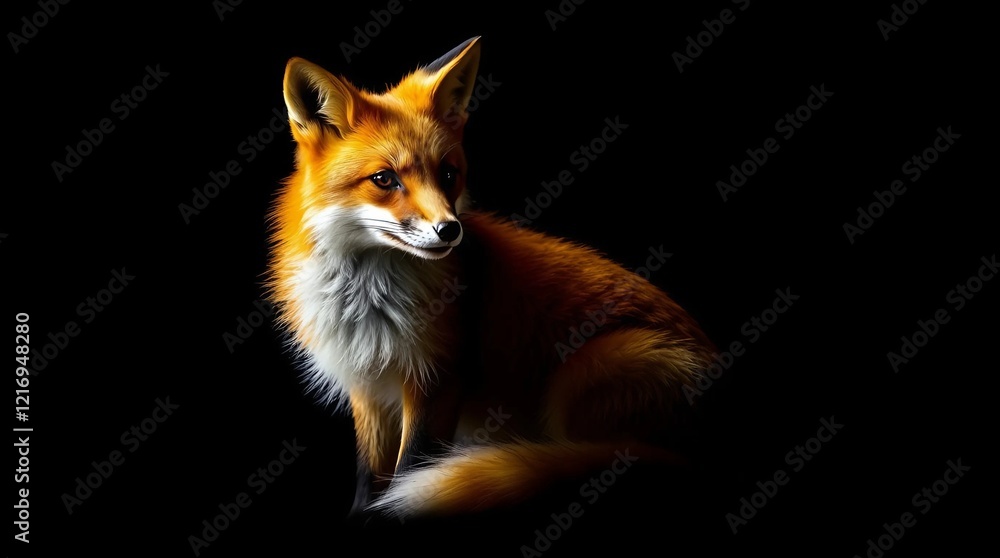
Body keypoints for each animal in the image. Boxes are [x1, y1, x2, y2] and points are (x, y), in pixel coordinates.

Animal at [267, 36, 717, 518]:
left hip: (590, 368)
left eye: (448, 173)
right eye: (384, 179)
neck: (367, 300)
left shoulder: (436, 380)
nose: (450, 230)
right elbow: (370, 476)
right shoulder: (368, 387)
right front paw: (362, 513)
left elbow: (410, 468)